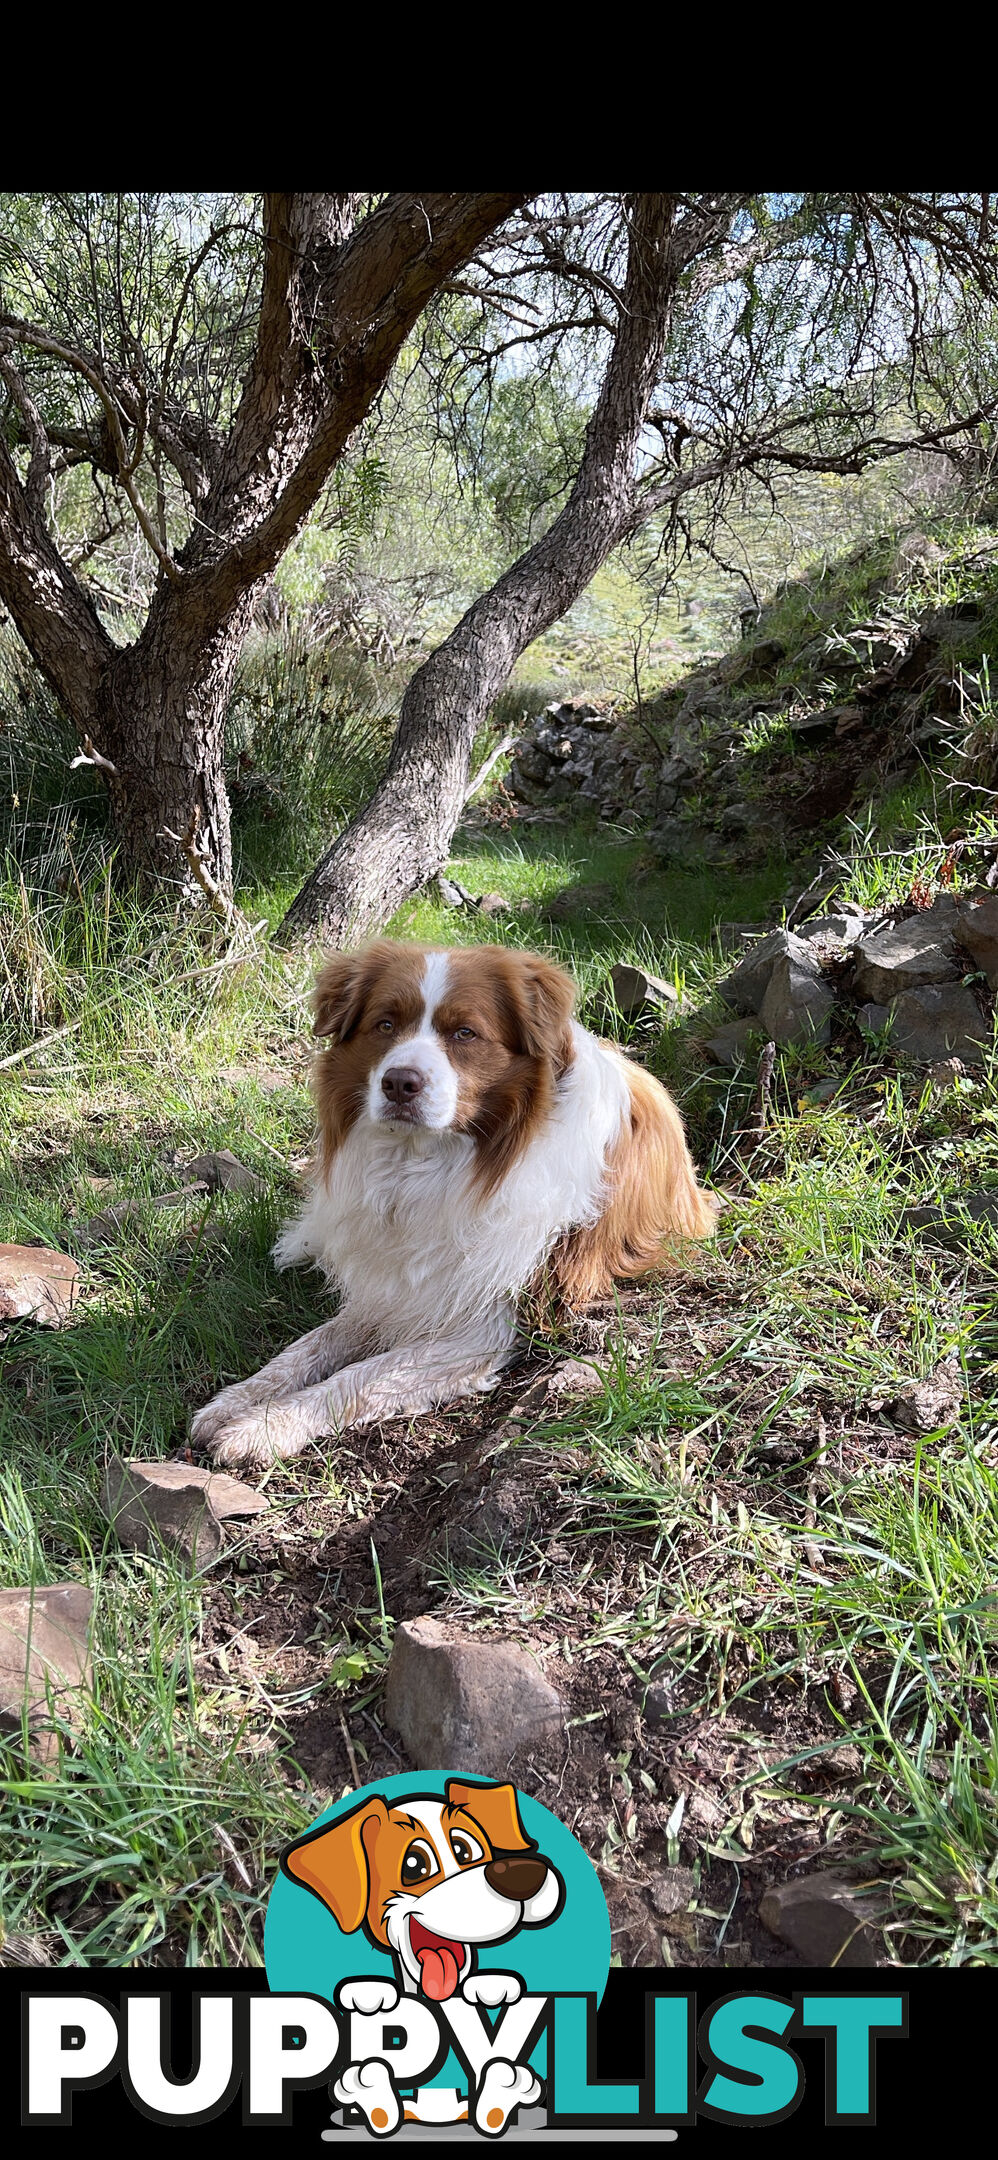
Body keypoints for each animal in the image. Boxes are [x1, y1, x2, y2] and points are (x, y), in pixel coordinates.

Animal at [189, 946, 717, 1468]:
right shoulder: (396, 1289)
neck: (425, 1163)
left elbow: (363, 1377)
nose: (399, 1083)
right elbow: (309, 1346)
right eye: (385, 1024)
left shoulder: (490, 1320)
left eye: (465, 1032)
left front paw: (265, 1426)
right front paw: (237, 1401)